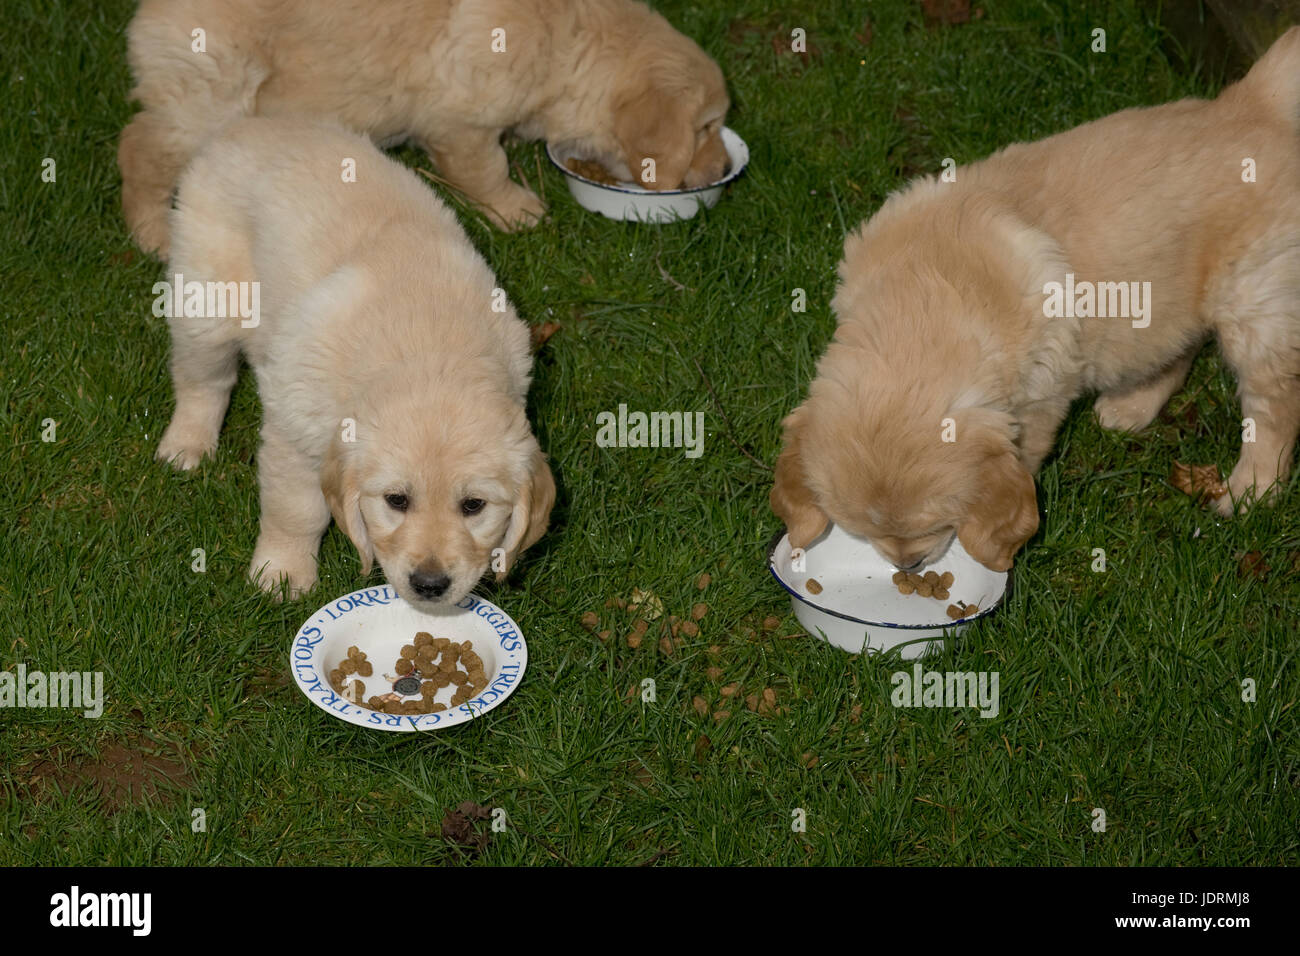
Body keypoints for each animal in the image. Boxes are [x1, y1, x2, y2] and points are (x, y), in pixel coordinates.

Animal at [119, 0, 733, 257]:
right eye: (706, 127)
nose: (728, 170)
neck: (572, 40)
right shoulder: (460, 119)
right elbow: (484, 168)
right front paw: (516, 210)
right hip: (208, 96)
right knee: (140, 149)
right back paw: (153, 233)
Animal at [156, 117, 553, 606]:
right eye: (396, 501)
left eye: (473, 506)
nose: (430, 586)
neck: (430, 350)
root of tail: (250, 124)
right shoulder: (296, 434)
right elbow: (296, 511)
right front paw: (282, 574)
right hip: (207, 301)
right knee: (202, 381)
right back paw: (186, 445)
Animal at [769, 26, 1300, 572]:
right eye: (863, 531)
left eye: (932, 527)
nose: (908, 566)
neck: (923, 300)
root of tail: (1253, 101)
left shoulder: (1041, 396)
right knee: (1178, 347)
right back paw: (1131, 406)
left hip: (1257, 304)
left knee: (1274, 409)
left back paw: (1251, 491)